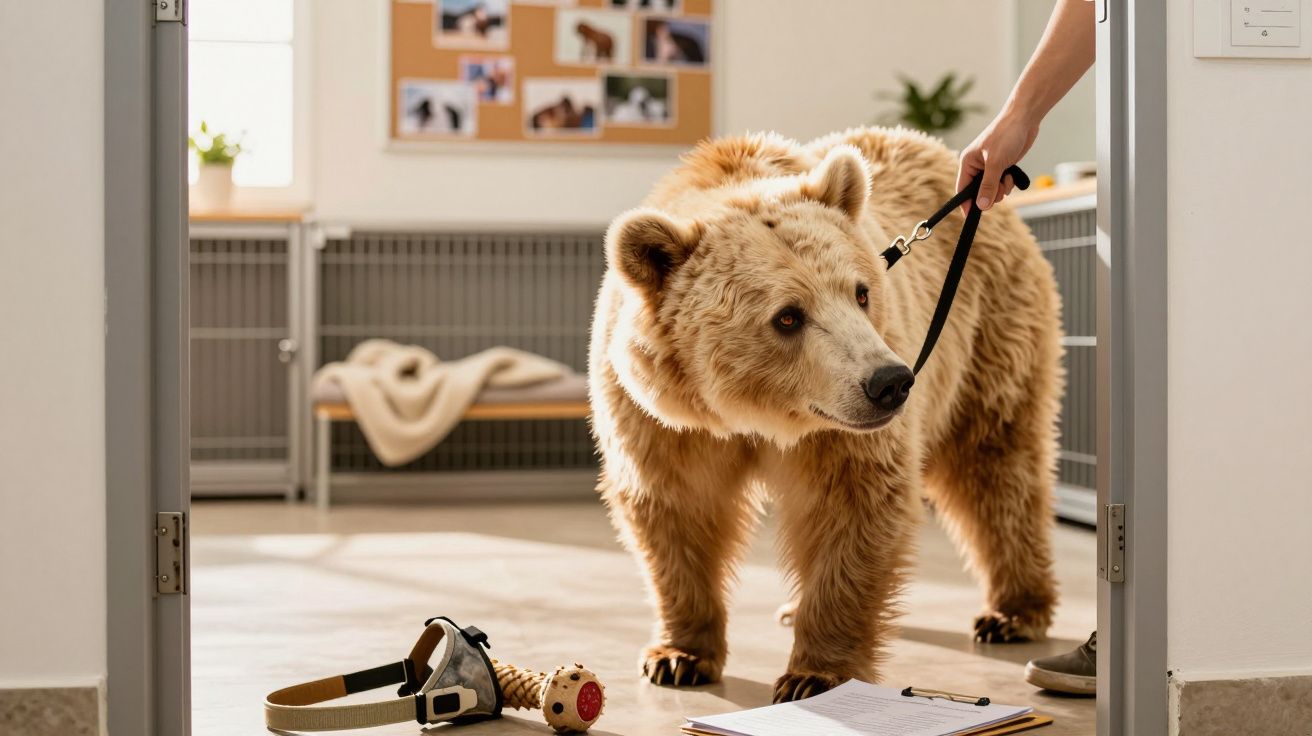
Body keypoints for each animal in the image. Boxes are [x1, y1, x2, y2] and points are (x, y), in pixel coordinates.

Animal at [588, 126, 1062, 703]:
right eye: (788, 316)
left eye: (861, 292)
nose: (890, 382)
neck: (751, 413)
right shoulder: (665, 423)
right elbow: (676, 506)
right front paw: (679, 656)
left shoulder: (841, 430)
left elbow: (854, 504)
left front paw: (812, 675)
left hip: (987, 329)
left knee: (997, 466)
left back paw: (1012, 612)